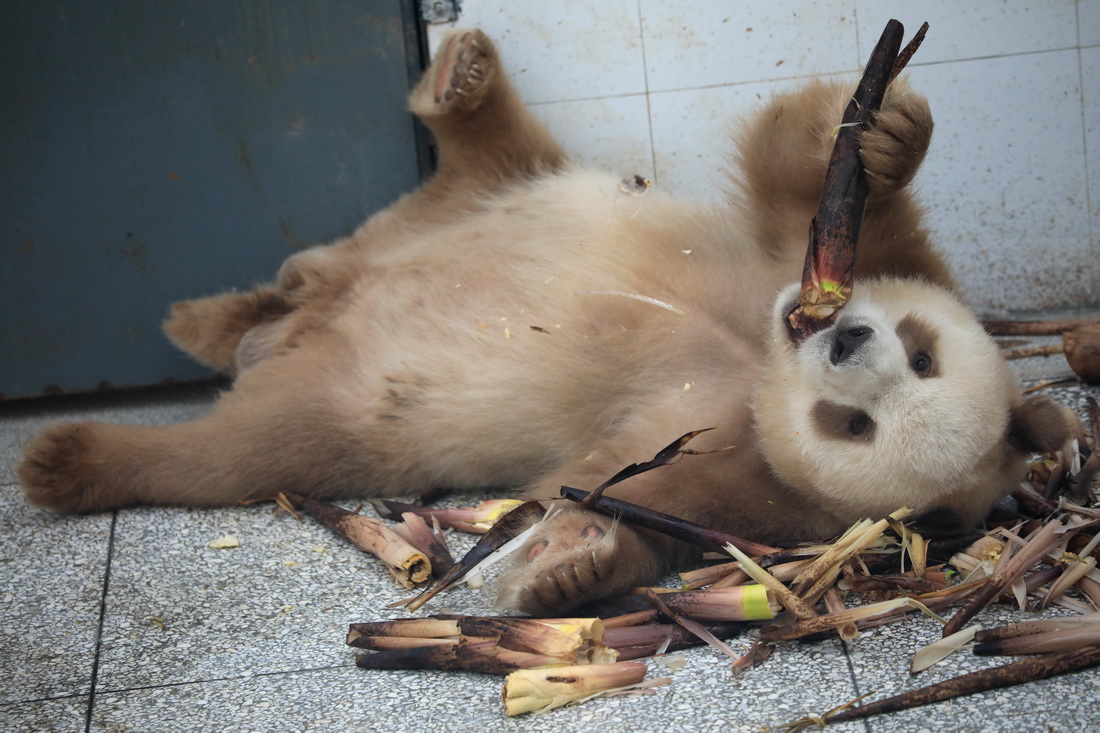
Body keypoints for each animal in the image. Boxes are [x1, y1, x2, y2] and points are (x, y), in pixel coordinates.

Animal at [17, 29, 1064, 611]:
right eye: (921, 353)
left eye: (856, 425)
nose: (843, 340)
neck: (757, 358)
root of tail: (319, 312)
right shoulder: (788, 262)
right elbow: (813, 186)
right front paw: (883, 127)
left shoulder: (741, 470)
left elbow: (630, 499)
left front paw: (566, 566)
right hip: (502, 194)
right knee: (483, 159)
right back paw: (457, 86)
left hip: (346, 406)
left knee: (246, 445)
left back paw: (79, 454)